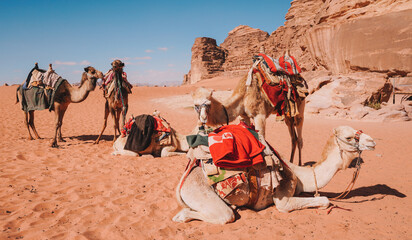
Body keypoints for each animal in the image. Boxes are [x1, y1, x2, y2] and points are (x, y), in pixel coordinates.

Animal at [174, 124, 376, 224]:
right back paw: (182, 216)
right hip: (200, 193)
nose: (372, 141)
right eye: (349, 137)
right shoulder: (283, 199)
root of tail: (183, 182)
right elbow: (325, 200)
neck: (299, 175)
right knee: (224, 215)